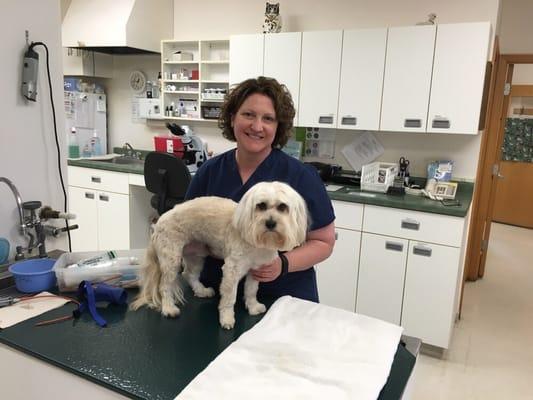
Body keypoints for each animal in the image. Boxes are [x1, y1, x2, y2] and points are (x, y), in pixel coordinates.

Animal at [130, 181, 308, 328]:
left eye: (283, 207)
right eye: (261, 206)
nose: (270, 223)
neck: (256, 242)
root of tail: (159, 222)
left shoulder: (256, 270)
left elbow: (251, 291)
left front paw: (253, 307)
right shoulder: (232, 270)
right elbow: (229, 297)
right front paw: (227, 319)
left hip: (196, 255)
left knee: (189, 274)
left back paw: (202, 291)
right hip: (171, 259)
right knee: (165, 285)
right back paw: (169, 308)